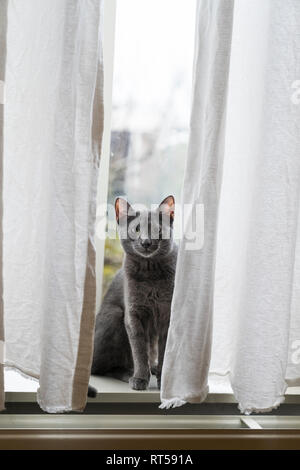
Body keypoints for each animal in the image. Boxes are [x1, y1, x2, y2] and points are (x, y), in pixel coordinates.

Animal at [88, 196, 177, 396]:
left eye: (157, 230)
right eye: (136, 229)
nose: (145, 242)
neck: (150, 274)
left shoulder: (167, 315)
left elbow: (163, 349)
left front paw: (162, 381)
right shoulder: (133, 313)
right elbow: (139, 350)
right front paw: (140, 379)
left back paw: (153, 368)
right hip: (114, 315)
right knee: (101, 368)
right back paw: (128, 374)